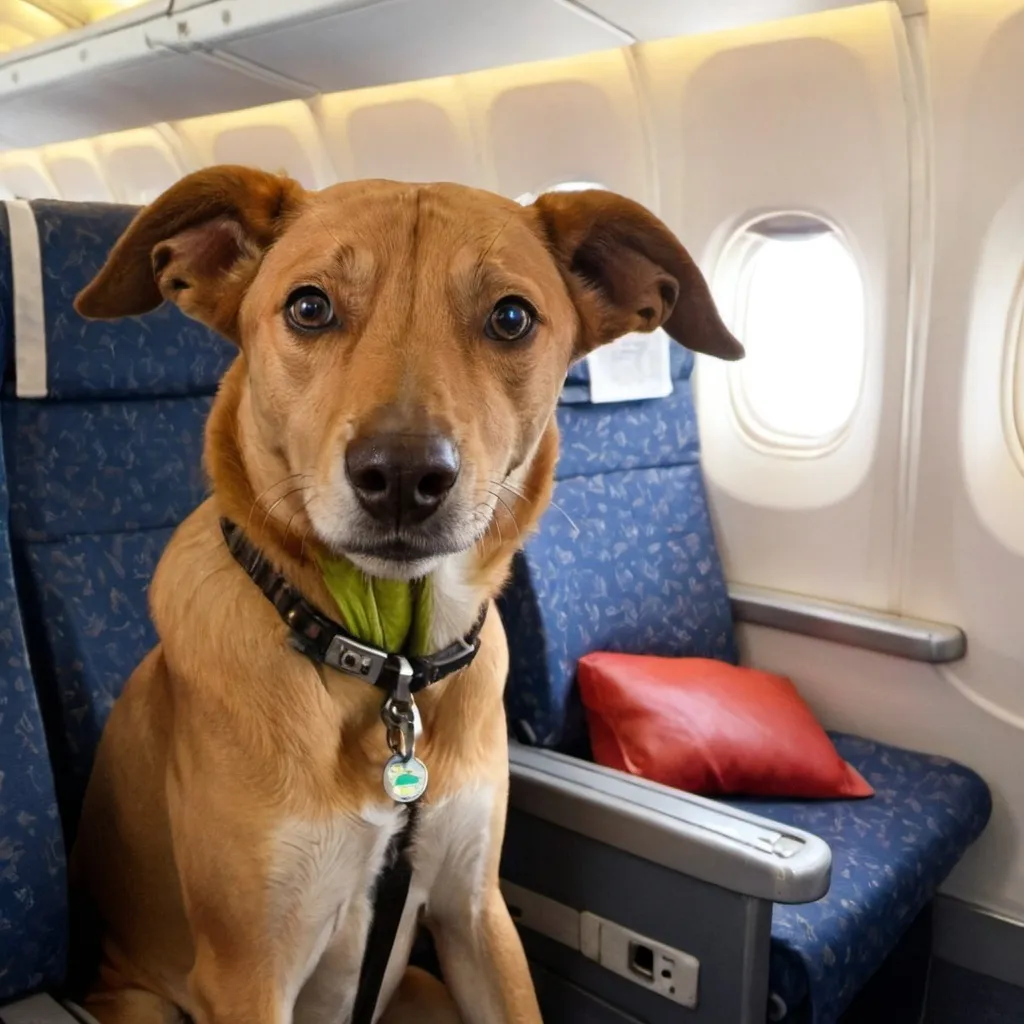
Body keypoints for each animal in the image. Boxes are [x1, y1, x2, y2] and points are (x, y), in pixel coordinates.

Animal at [70, 169, 745, 1024]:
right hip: (147, 1003)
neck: (389, 661)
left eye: (511, 317)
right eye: (310, 307)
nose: (400, 476)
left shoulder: (476, 914)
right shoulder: (246, 973)